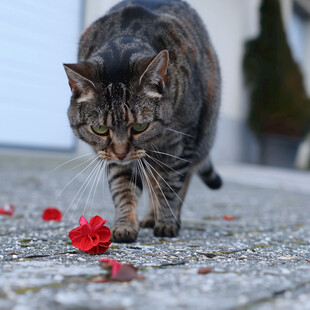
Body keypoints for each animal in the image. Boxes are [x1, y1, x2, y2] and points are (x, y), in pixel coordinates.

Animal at [63, 0, 223, 242]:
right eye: (100, 129)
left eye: (140, 126)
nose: (121, 153)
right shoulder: (117, 159)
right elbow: (123, 188)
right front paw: (125, 225)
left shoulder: (178, 144)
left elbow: (170, 186)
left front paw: (167, 222)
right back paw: (149, 217)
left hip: (200, 137)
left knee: (180, 180)